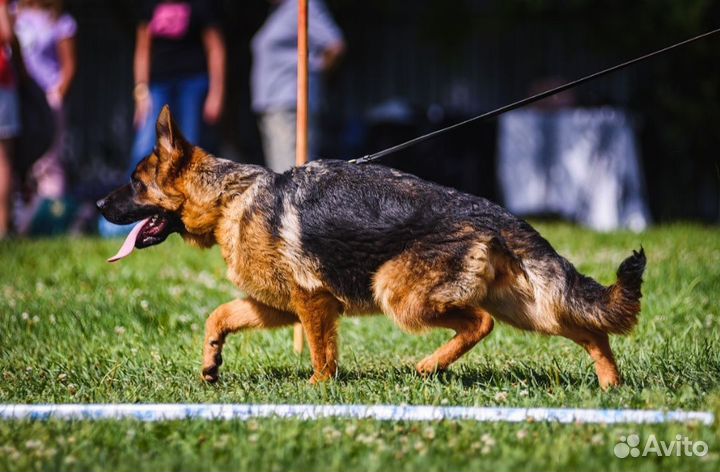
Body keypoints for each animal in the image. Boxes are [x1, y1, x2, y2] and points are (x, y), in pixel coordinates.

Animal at [97, 106, 648, 388]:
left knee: (479, 324)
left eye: (135, 183)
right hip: (529, 309)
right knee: (589, 331)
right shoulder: (278, 307)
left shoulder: (313, 303)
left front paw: (319, 392)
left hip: (397, 292)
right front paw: (211, 362)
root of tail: (492, 215)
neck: (229, 198)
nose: (99, 203)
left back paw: (429, 366)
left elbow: (323, 355)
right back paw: (610, 385)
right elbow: (219, 316)